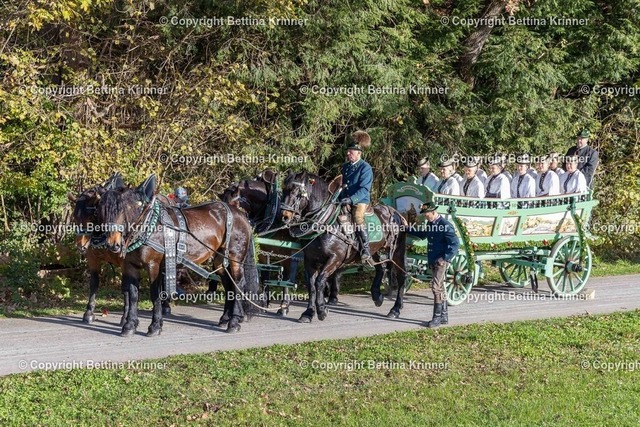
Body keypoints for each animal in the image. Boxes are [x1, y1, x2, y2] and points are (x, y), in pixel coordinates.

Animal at [95, 174, 260, 336]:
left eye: (129, 207)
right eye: (103, 208)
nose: (113, 243)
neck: (148, 226)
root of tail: (240, 214)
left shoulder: (154, 265)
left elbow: (155, 294)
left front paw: (155, 326)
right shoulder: (130, 266)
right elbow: (133, 294)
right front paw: (129, 326)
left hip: (235, 258)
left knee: (238, 284)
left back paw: (234, 322)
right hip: (220, 259)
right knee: (228, 284)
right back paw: (225, 318)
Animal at [281, 171, 408, 322]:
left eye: (297, 192)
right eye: (283, 189)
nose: (285, 216)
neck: (325, 222)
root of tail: (396, 213)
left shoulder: (335, 258)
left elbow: (319, 281)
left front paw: (322, 310)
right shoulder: (309, 260)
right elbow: (311, 286)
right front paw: (308, 313)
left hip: (397, 252)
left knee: (401, 277)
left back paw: (395, 309)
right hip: (374, 251)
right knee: (380, 268)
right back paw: (377, 296)